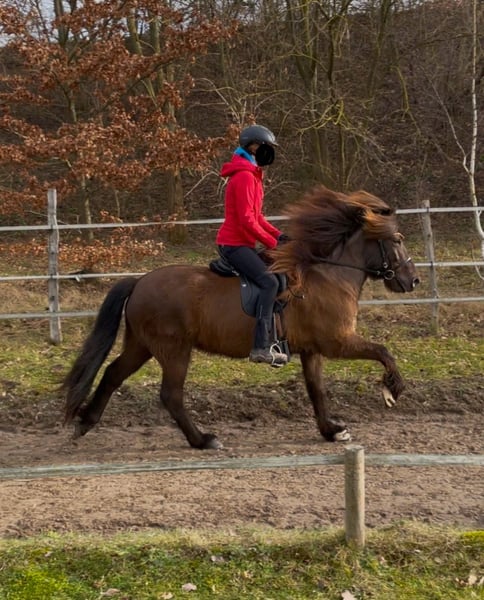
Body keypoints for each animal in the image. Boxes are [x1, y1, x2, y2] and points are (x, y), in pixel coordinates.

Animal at [62, 185, 419, 449]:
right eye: (398, 240)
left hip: (142, 345)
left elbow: (316, 389)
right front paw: (393, 389)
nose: (413, 280)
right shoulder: (338, 342)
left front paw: (331, 431)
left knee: (113, 374)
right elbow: (383, 351)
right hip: (173, 349)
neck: (329, 276)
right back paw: (203, 440)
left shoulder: (313, 349)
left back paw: (85, 423)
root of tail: (139, 281)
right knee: (170, 395)